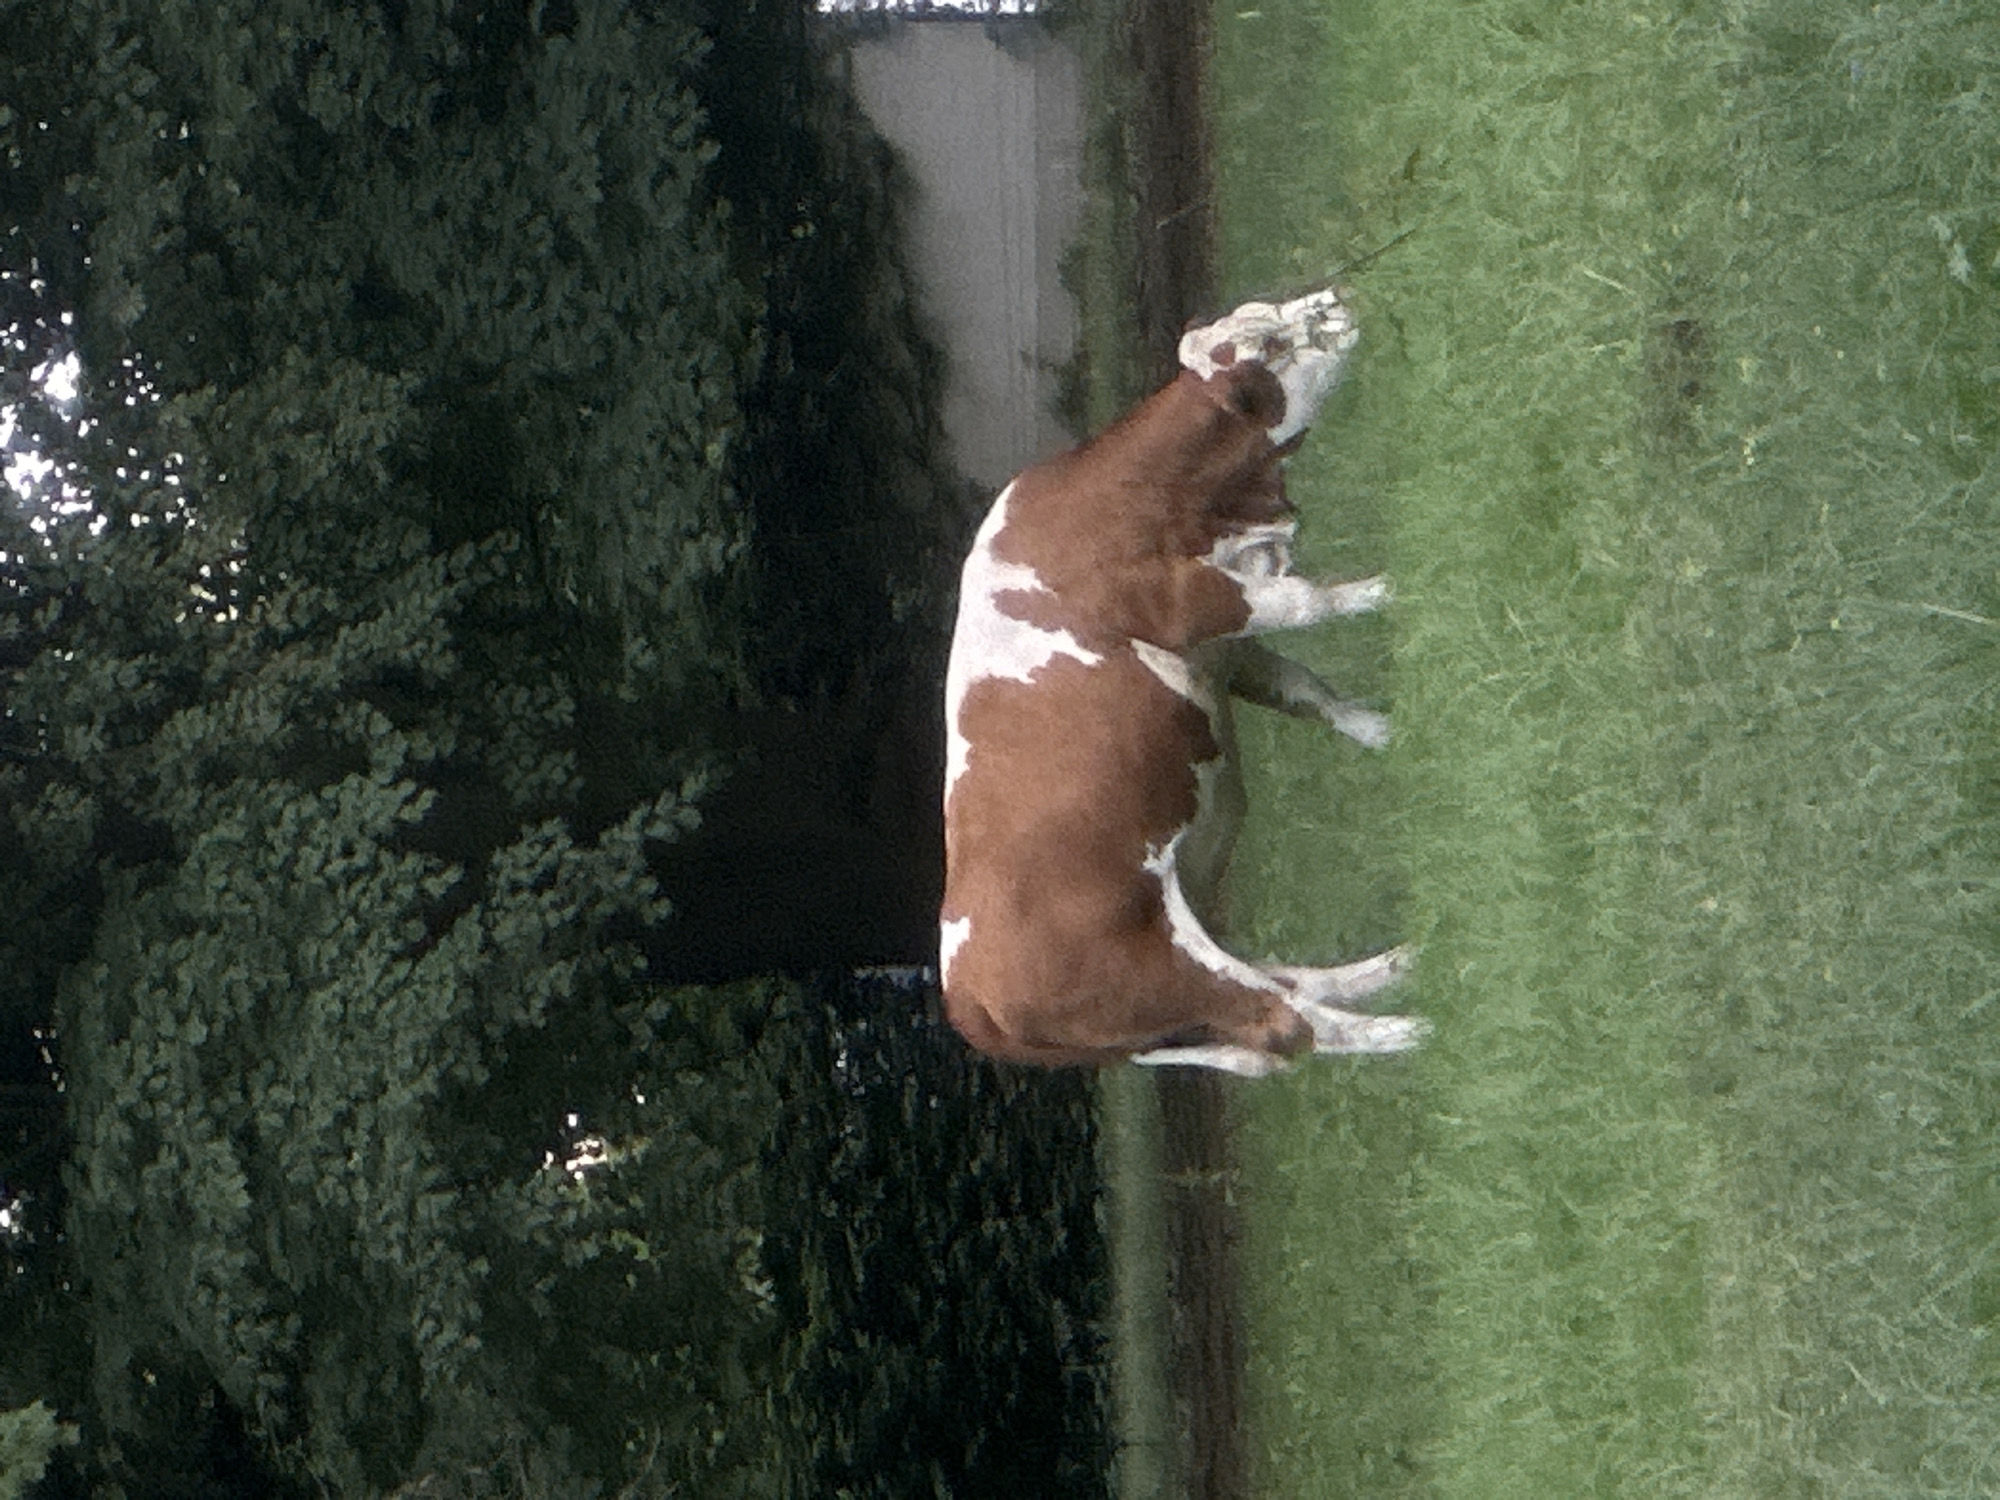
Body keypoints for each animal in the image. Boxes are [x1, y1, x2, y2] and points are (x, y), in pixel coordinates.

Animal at [938, 288, 1425, 1077]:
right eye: (1272, 344)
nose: (1336, 299)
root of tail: (968, 999)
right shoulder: (1200, 603)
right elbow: (1313, 602)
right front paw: (1394, 587)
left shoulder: (1221, 649)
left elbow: (1309, 695)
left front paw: (1387, 732)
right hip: (1161, 969)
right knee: (1287, 1023)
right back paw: (1418, 1029)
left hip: (1173, 1001)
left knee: (1281, 988)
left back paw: (1397, 966)